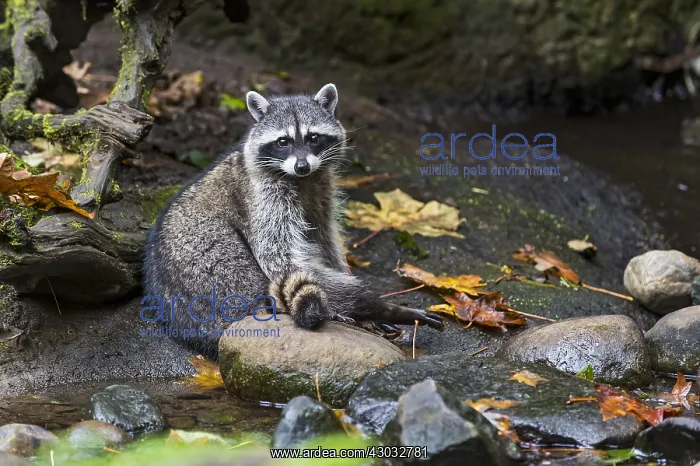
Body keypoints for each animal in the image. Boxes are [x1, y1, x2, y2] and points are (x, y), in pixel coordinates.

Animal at [142, 83, 443, 359]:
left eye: (313, 137)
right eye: (283, 141)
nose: (302, 166)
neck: (302, 179)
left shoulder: (321, 192)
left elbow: (324, 241)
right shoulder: (263, 198)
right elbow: (279, 257)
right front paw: (372, 305)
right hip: (207, 263)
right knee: (243, 273)